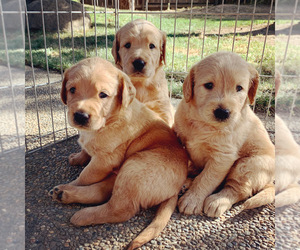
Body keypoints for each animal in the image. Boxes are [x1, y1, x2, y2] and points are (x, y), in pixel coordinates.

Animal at [48, 58, 188, 248]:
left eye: (103, 95)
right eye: (72, 90)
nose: (81, 116)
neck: (108, 120)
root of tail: (175, 189)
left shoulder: (104, 161)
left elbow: (85, 177)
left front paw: (72, 183)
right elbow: (85, 151)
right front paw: (77, 158)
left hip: (134, 168)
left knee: (120, 209)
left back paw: (80, 212)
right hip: (124, 174)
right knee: (102, 192)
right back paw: (65, 194)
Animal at [173, 51, 274, 217]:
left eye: (239, 88)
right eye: (208, 85)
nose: (223, 112)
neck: (204, 124)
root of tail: (269, 181)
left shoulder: (222, 157)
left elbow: (206, 179)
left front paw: (192, 200)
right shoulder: (179, 134)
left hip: (248, 165)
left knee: (240, 190)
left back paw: (218, 201)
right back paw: (187, 181)